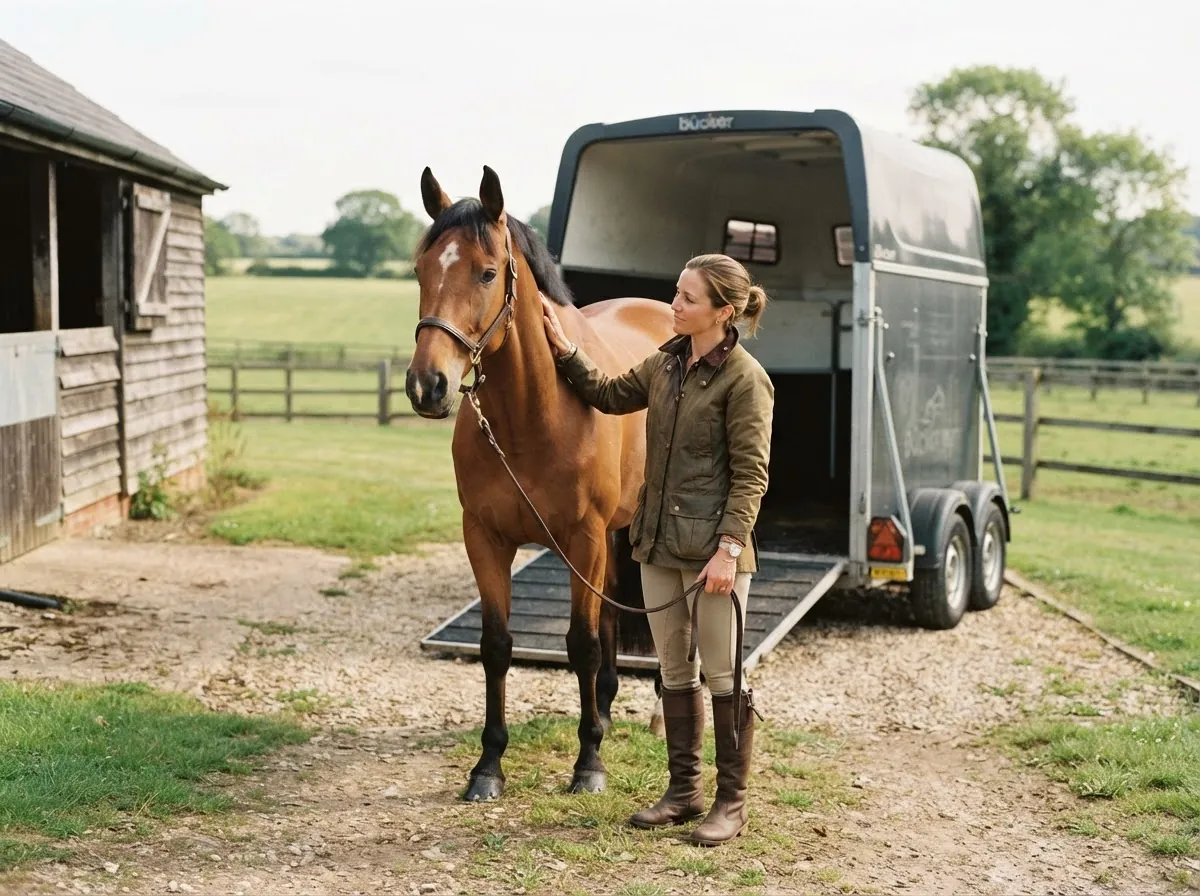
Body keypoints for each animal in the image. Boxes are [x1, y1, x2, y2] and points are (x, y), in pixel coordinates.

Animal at [405, 165, 676, 800]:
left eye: (486, 272)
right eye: (421, 271)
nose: (428, 385)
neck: (535, 412)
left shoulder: (582, 537)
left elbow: (579, 644)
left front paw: (588, 765)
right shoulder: (486, 539)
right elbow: (496, 647)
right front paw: (488, 767)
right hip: (617, 533)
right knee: (611, 611)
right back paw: (605, 711)